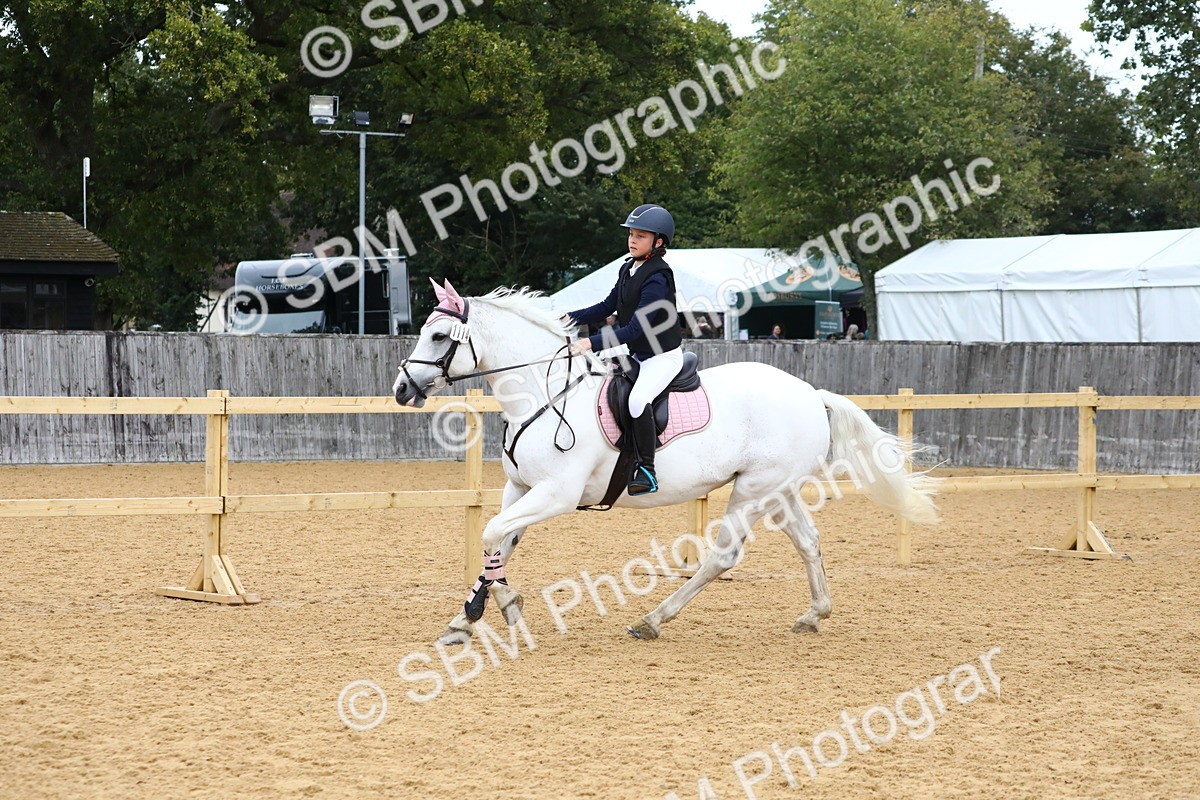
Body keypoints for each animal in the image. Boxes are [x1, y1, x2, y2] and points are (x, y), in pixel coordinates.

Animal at [394, 280, 940, 642]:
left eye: (439, 338)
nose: (401, 389)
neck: (543, 392)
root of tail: (810, 393)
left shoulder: (556, 494)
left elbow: (491, 534)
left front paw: (504, 606)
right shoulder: (523, 490)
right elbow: (500, 543)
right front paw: (466, 616)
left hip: (753, 490)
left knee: (722, 556)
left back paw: (652, 620)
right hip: (777, 490)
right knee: (808, 541)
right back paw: (814, 614)